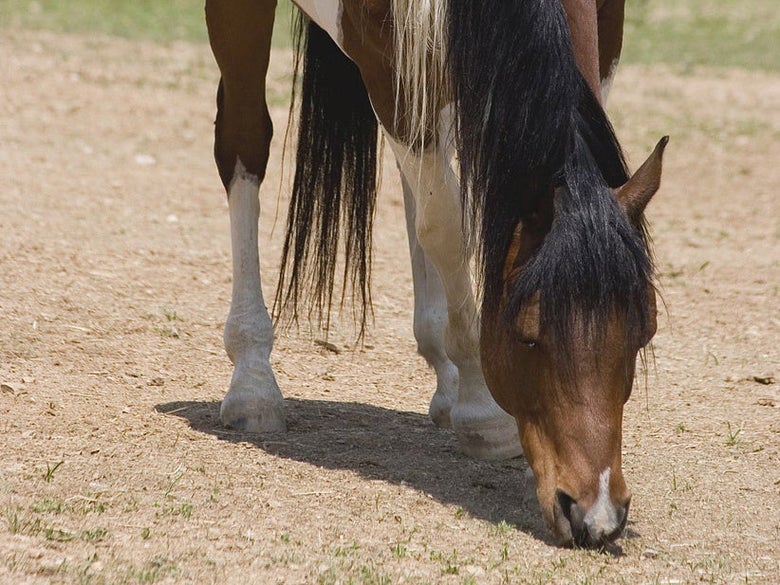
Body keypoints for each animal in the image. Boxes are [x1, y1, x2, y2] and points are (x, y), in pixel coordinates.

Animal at [204, 0, 667, 548]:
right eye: (528, 337)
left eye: (642, 334)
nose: (597, 518)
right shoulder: (386, 59)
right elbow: (447, 227)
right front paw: (482, 407)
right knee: (243, 143)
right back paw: (253, 383)